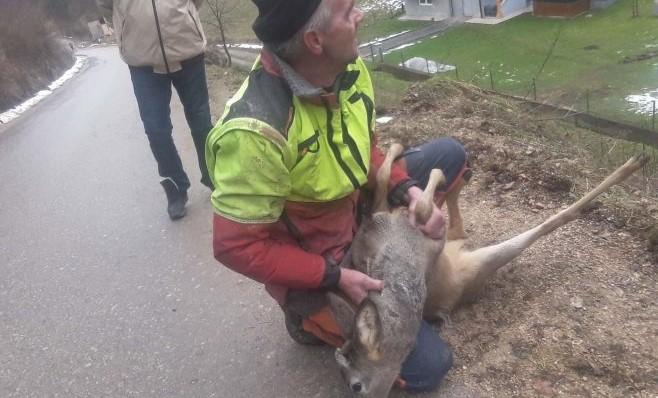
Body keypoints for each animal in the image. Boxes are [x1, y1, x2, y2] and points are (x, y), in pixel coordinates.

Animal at [322, 141, 644, 396]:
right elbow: (404, 193)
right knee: (544, 223)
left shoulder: (398, 224)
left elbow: (394, 183)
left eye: (355, 385)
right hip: (478, 262)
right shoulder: (403, 230)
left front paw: (402, 156)